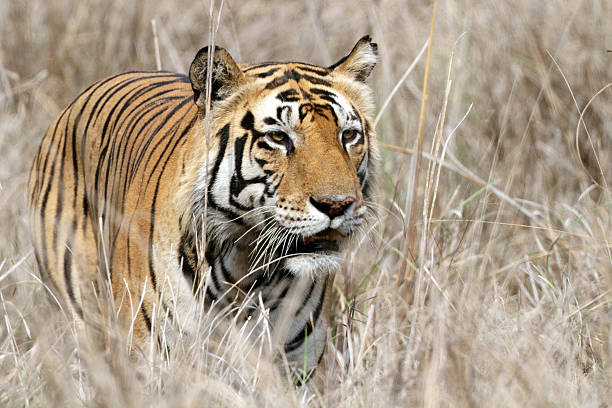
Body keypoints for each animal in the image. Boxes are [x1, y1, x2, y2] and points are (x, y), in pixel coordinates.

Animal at [27, 35, 378, 376]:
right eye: (278, 138)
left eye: (348, 135)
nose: (336, 205)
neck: (248, 268)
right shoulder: (151, 358)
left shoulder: (294, 366)